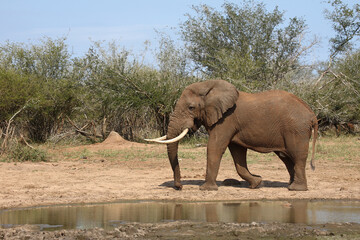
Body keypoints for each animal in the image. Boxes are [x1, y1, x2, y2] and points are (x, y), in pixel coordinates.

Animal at [145, 80, 316, 191]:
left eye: (191, 107)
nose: (179, 187)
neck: (209, 87)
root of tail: (311, 114)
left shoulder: (226, 120)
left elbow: (214, 147)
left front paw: (206, 189)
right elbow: (237, 153)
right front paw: (257, 183)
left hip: (296, 130)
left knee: (297, 156)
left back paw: (296, 189)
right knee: (286, 158)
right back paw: (290, 185)